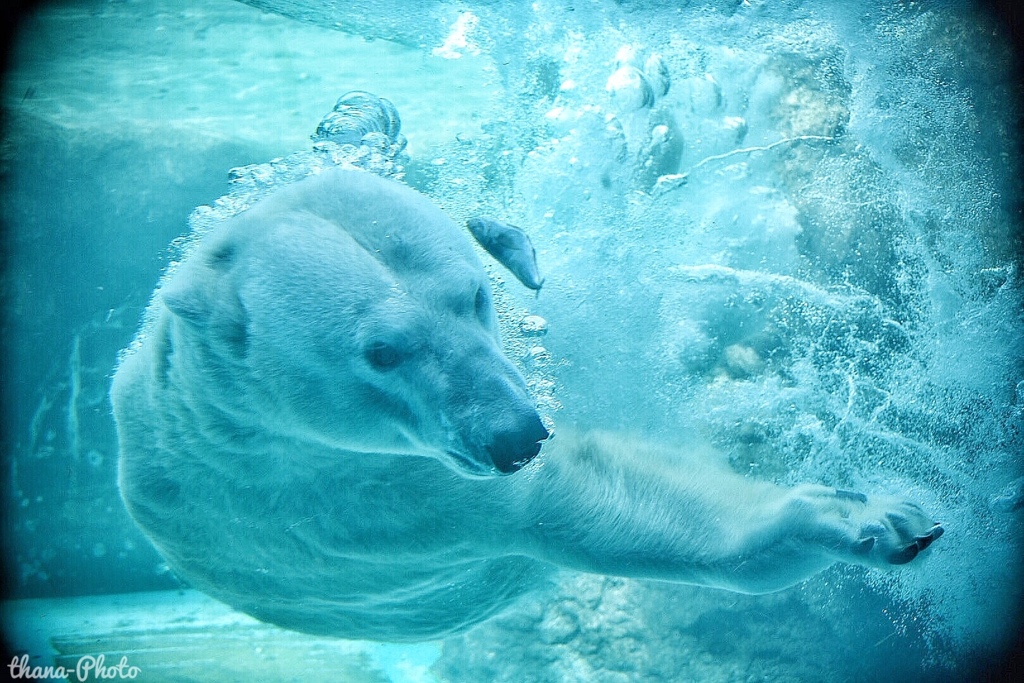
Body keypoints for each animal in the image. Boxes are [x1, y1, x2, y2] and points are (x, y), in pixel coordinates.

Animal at [114, 167, 942, 643]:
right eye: (383, 350)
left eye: (475, 296)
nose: (520, 431)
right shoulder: (393, 503)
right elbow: (616, 514)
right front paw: (860, 519)